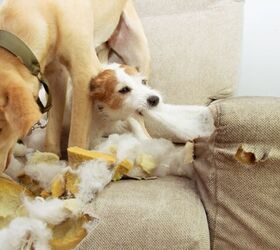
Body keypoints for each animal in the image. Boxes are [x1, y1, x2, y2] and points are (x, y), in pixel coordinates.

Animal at [0, 0, 151, 172]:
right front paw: (50, 160)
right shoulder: (56, 76)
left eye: (0, 128)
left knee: (139, 116)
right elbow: (52, 132)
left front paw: (75, 171)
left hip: (138, 56)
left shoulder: (83, 76)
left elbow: (76, 141)